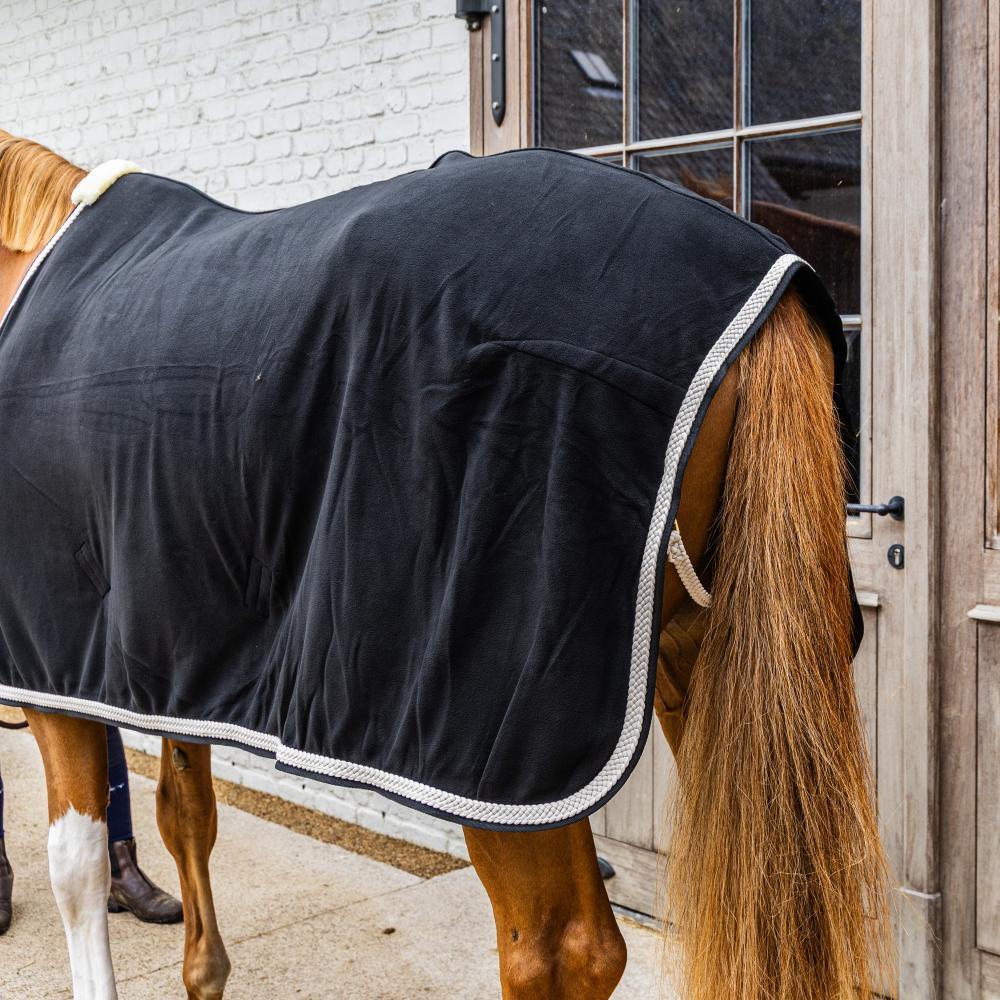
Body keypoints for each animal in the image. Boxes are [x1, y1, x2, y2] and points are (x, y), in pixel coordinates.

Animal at [0, 130, 890, 1000]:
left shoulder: (54, 668)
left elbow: (77, 869)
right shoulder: (166, 664)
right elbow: (187, 813)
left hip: (497, 747)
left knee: (561, 952)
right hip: (700, 666)